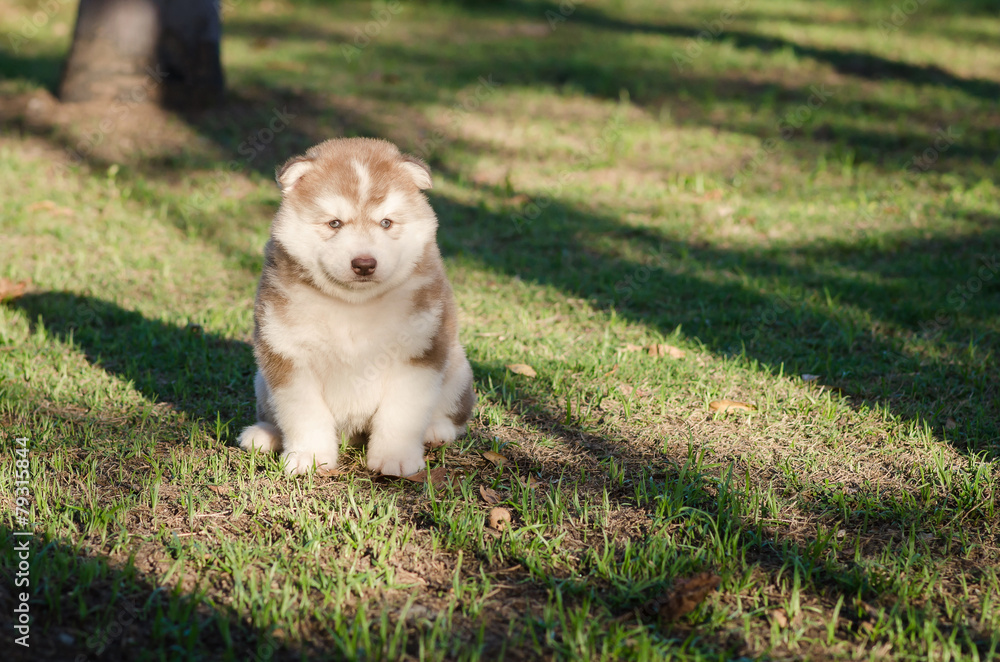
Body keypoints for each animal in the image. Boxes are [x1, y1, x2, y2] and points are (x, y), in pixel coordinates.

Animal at [240, 137, 478, 474]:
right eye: (335, 223)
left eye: (386, 222)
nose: (364, 264)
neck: (354, 304)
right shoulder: (286, 353)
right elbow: (303, 414)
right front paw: (309, 457)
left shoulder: (419, 350)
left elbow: (401, 413)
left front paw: (395, 458)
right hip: (262, 380)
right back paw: (265, 435)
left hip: (457, 367)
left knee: (454, 416)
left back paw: (436, 430)